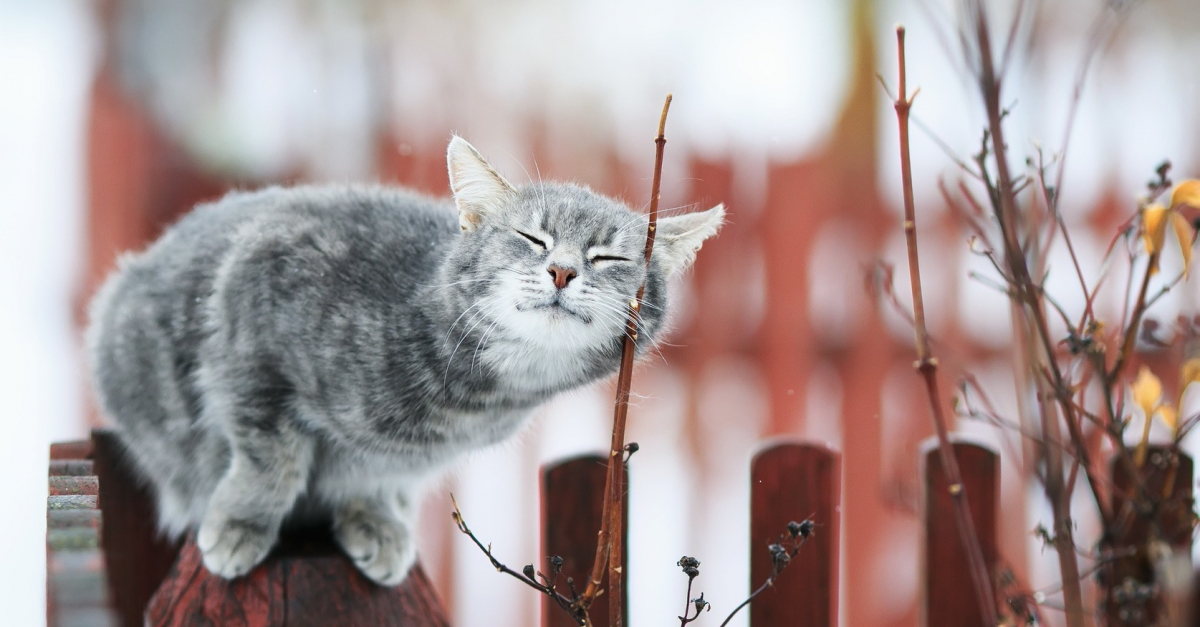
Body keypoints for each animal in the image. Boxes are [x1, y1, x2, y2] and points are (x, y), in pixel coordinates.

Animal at [87, 133, 720, 583]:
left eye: (609, 257)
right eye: (531, 238)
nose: (562, 270)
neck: (475, 398)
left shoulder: (401, 457)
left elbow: (374, 470)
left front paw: (372, 517)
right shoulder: (251, 321)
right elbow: (272, 457)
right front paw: (243, 520)